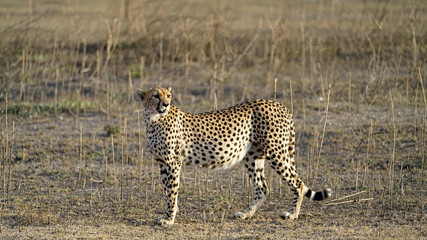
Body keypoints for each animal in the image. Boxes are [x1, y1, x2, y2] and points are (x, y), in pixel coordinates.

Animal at [137, 87, 332, 226]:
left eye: (168, 95)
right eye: (156, 96)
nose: (165, 104)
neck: (153, 119)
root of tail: (278, 104)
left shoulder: (173, 163)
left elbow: (172, 192)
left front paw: (169, 219)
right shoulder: (163, 163)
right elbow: (168, 191)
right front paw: (168, 214)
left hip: (276, 152)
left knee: (298, 184)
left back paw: (293, 214)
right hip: (253, 156)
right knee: (263, 188)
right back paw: (246, 214)